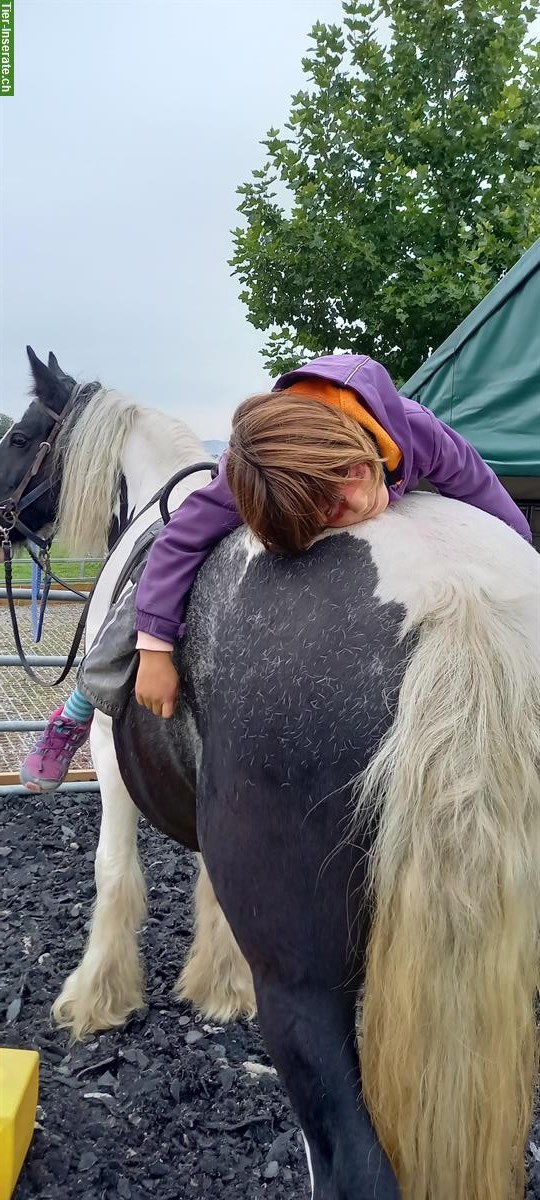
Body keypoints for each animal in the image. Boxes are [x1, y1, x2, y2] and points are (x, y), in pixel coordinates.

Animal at [1, 350, 540, 1200]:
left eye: (22, 435)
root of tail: (461, 604)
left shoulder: (114, 767)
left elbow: (114, 874)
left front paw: (97, 998)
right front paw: (220, 987)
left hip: (307, 994)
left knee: (353, 1162)